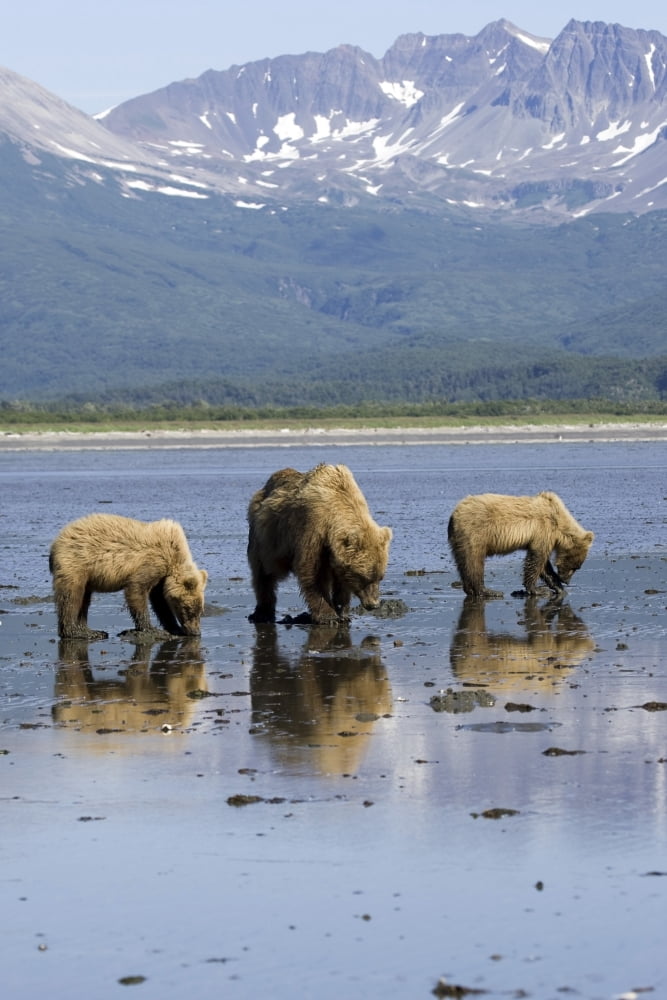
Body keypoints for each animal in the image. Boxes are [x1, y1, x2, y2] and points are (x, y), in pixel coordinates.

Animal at [49, 513, 208, 640]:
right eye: (188, 609)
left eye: (201, 610)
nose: (195, 632)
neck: (174, 557)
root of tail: (56, 542)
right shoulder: (151, 562)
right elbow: (137, 589)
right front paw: (151, 629)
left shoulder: (161, 578)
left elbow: (159, 602)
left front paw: (174, 627)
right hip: (76, 563)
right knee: (71, 596)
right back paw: (77, 632)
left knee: (84, 599)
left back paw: (90, 630)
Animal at [247, 463, 392, 624]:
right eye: (364, 578)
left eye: (380, 577)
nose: (373, 604)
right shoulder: (313, 528)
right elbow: (311, 571)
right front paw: (328, 616)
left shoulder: (335, 552)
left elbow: (341, 579)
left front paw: (342, 611)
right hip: (266, 540)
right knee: (263, 574)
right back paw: (262, 612)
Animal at [447, 491, 593, 599]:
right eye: (576, 567)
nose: (566, 581)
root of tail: (453, 515)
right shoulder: (543, 530)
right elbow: (536, 560)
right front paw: (537, 589)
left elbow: (544, 565)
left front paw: (558, 587)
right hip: (475, 533)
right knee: (474, 562)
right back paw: (488, 591)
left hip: (459, 540)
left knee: (462, 563)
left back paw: (470, 589)